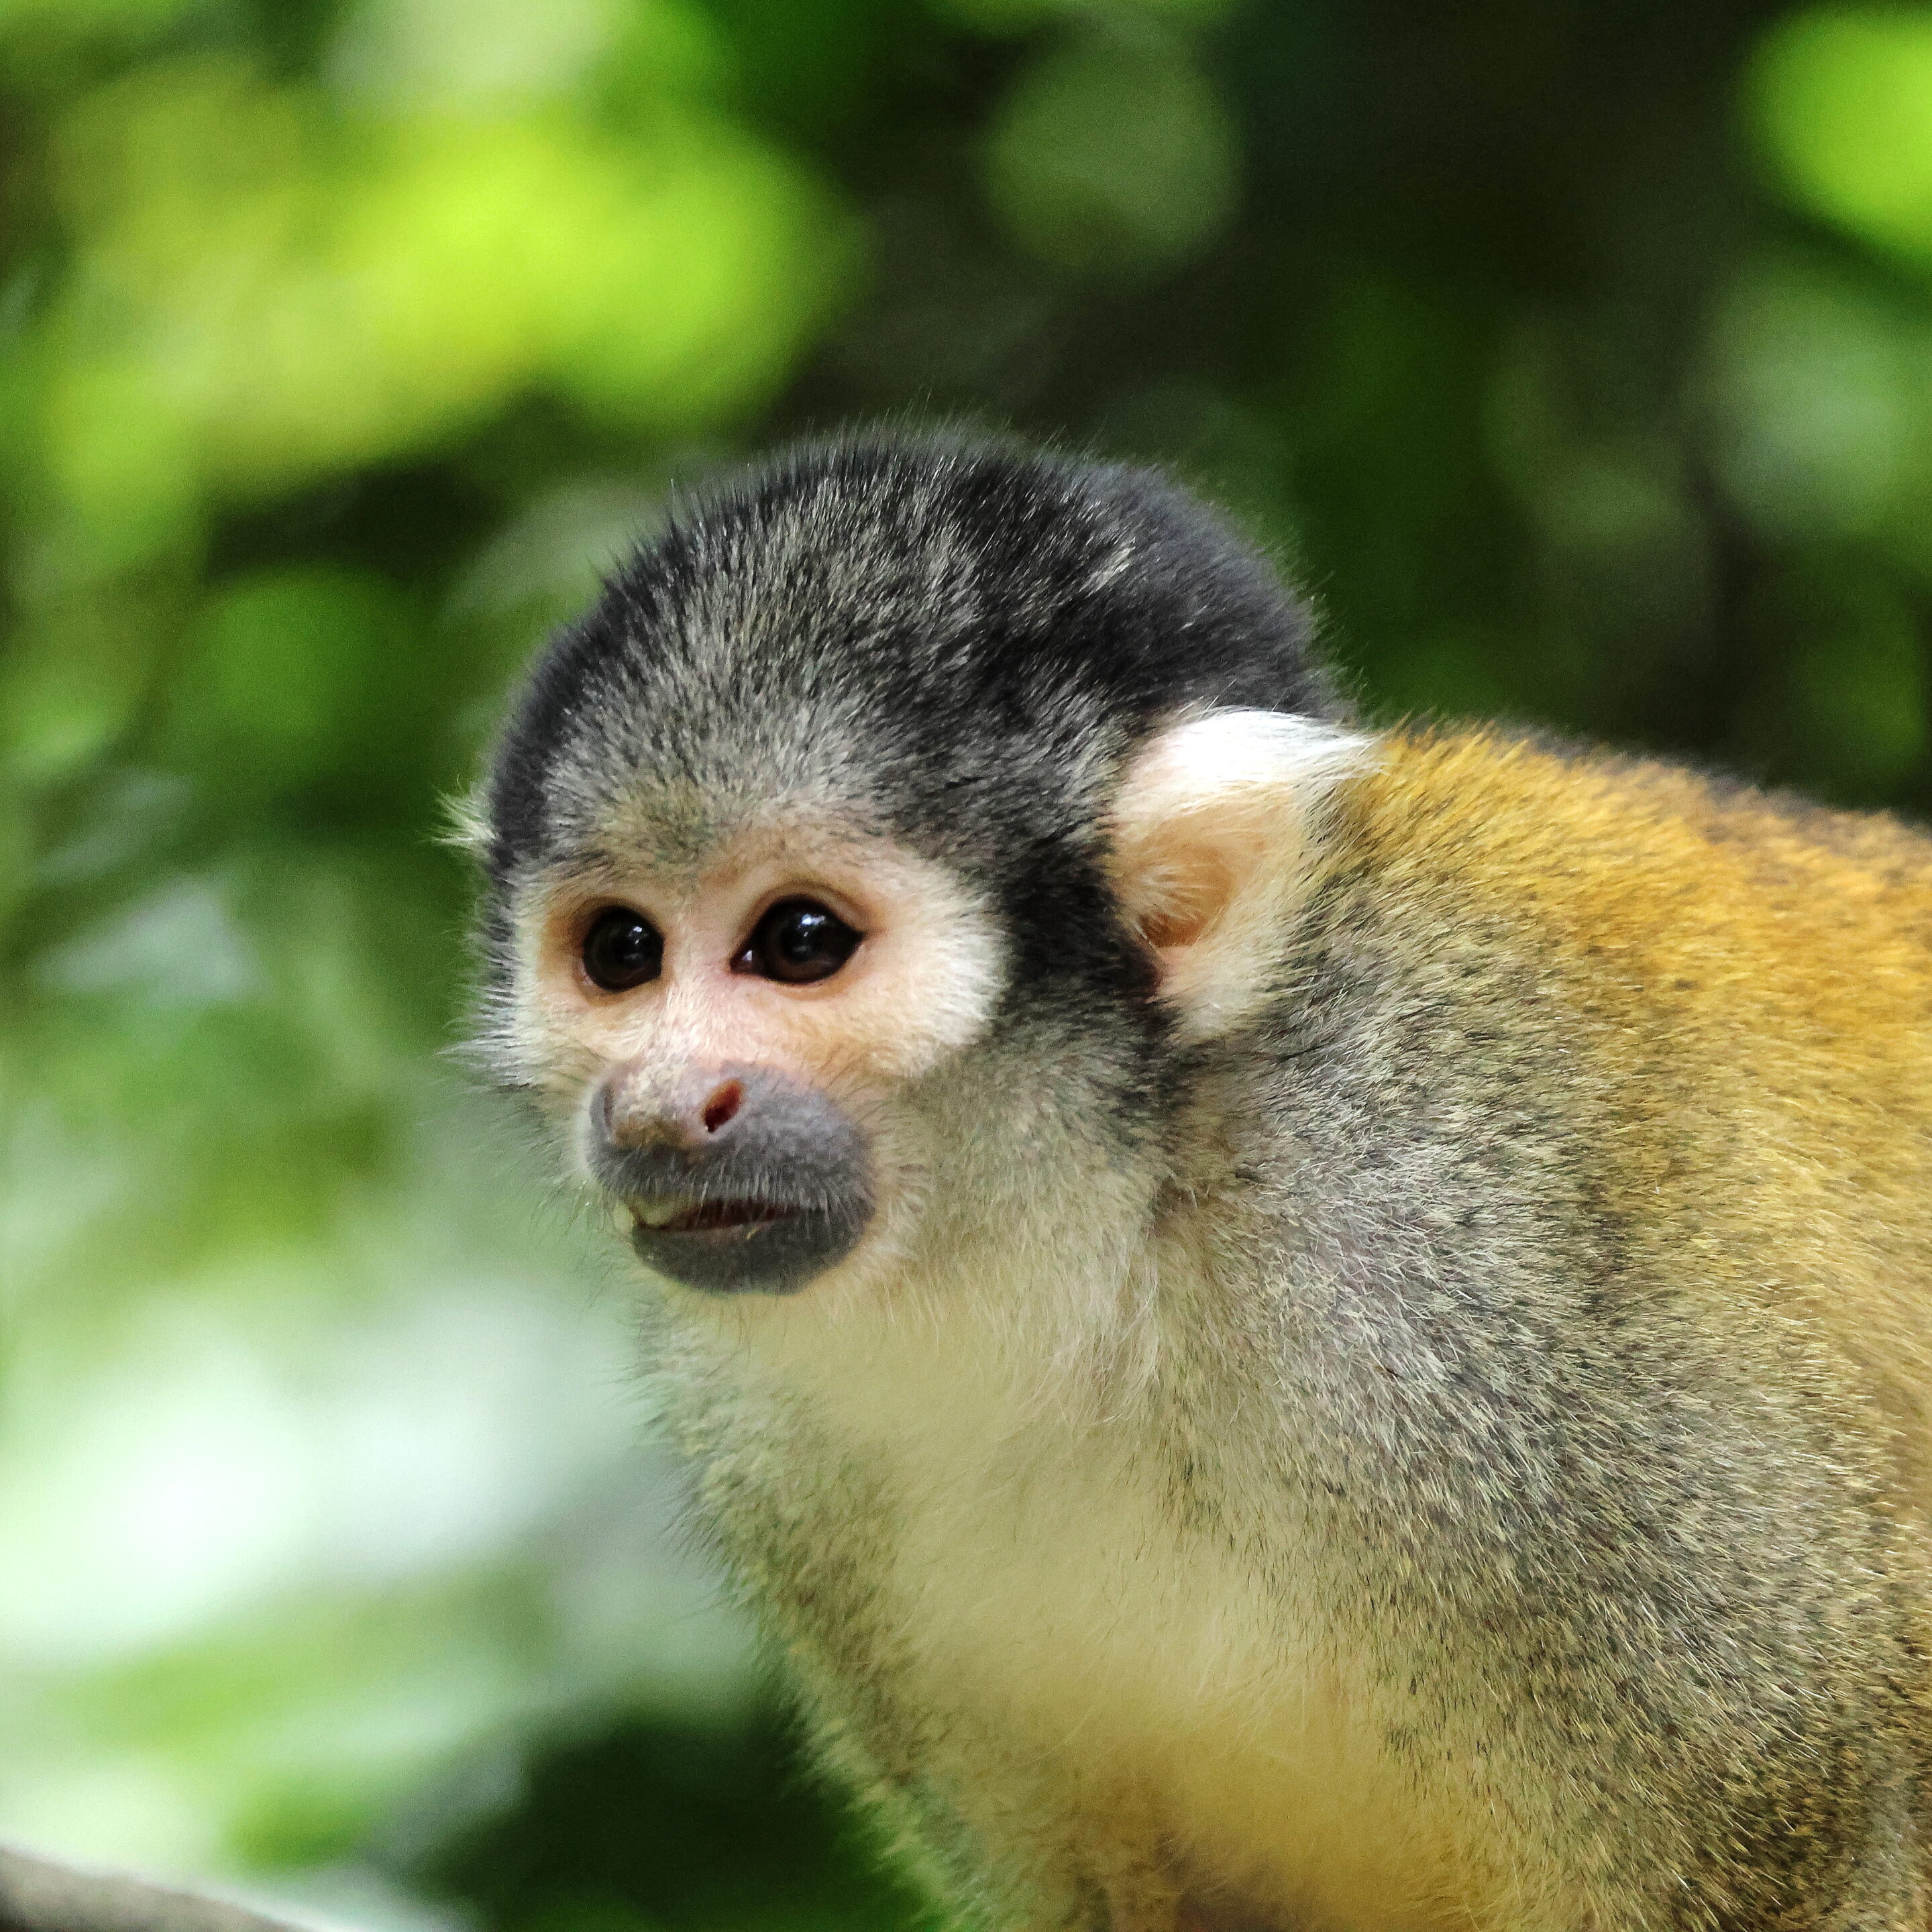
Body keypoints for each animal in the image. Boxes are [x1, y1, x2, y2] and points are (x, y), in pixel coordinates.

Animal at [464, 433, 1932, 1932]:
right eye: (622, 952)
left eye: (799, 941)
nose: (659, 1106)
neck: (1118, 1237)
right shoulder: (776, 1454)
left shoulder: (1498, 1270)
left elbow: (1805, 1811)